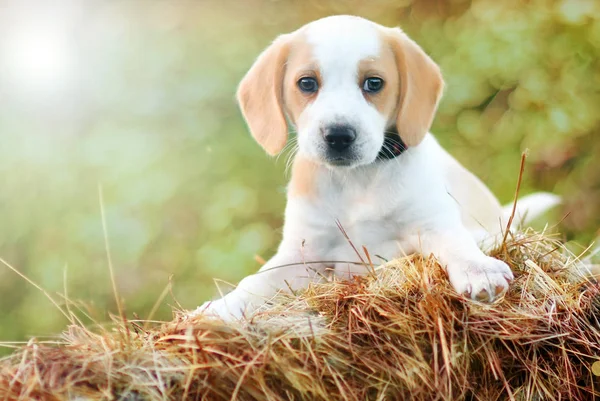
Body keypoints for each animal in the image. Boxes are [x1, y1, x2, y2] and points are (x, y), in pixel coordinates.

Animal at [195, 15, 560, 320]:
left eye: (373, 83)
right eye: (307, 83)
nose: (339, 136)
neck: (356, 180)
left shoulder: (429, 225)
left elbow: (456, 243)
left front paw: (478, 269)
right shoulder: (303, 254)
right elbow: (255, 281)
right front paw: (221, 308)